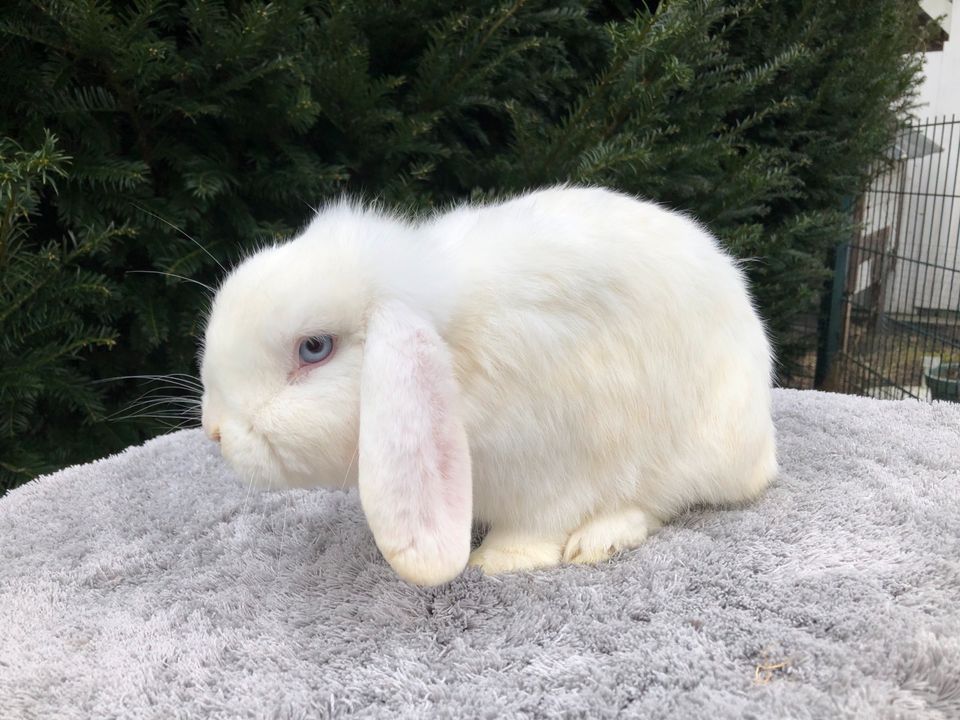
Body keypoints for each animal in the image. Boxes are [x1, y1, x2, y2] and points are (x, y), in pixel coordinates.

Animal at [199, 184, 776, 584]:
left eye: (314, 348)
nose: (214, 432)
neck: (457, 354)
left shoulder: (553, 462)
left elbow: (540, 521)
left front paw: (500, 561)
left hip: (697, 447)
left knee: (661, 501)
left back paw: (599, 539)